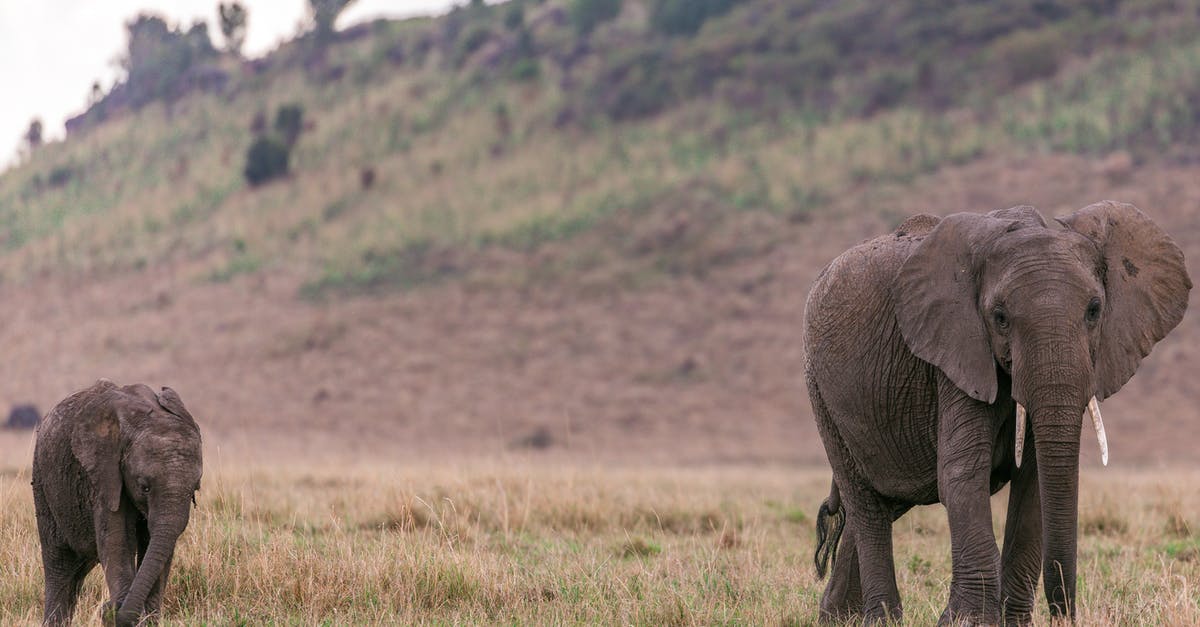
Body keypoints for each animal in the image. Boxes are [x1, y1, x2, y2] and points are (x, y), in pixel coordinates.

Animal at [32, 377, 202, 619]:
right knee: (59, 562)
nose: (107, 608)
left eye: (195, 488)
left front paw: (147, 618)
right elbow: (117, 541)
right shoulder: (104, 476)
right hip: (43, 481)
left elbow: (158, 546)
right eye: (144, 487)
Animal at [806, 202, 1190, 619]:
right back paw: (882, 618)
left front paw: (1012, 621)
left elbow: (1034, 479)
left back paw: (838, 617)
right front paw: (966, 621)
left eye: (1094, 310)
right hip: (821, 393)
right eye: (1000, 317)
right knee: (866, 503)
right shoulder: (955, 354)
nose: (1064, 614)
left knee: (889, 500)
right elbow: (961, 473)